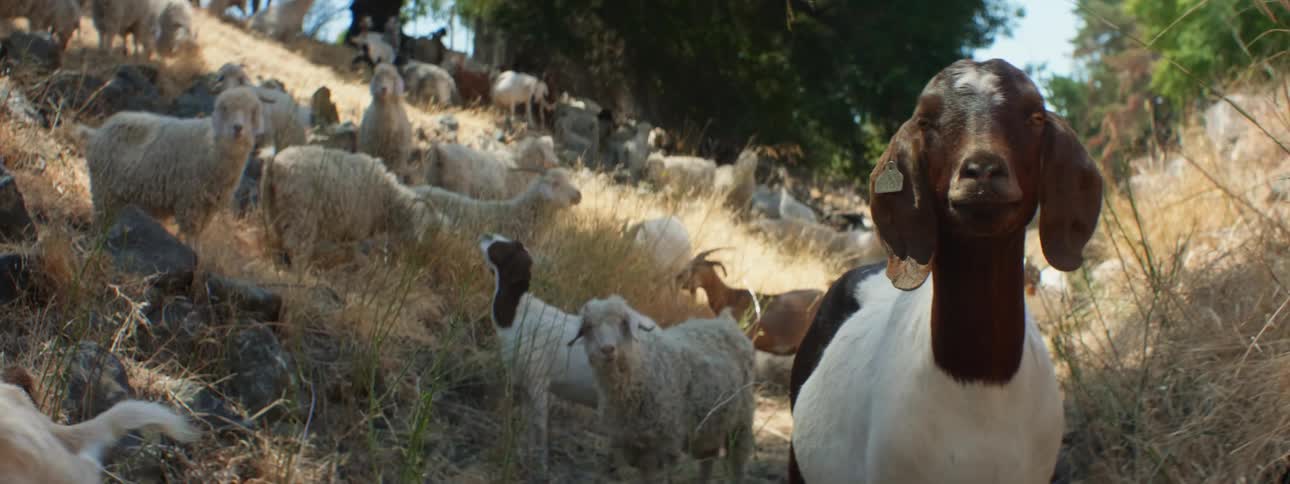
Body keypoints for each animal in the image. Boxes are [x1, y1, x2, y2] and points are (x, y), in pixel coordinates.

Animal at [80, 86, 269, 240]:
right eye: (224, 108)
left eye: (252, 112)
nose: (238, 128)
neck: (212, 148)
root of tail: (97, 132)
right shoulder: (190, 202)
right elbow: (191, 237)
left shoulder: (208, 208)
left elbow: (198, 237)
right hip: (103, 189)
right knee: (99, 222)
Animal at [259, 145, 444, 264]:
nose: (419, 259)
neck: (387, 198)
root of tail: (275, 163)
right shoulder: (357, 225)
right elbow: (354, 248)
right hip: (300, 211)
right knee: (296, 244)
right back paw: (301, 272)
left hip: (277, 206)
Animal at [477, 233, 597, 476]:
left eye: (504, 247)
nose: (486, 235)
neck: (519, 312)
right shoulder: (525, 385)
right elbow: (528, 428)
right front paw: (524, 458)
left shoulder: (538, 384)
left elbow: (539, 429)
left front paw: (541, 468)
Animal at [571, 295, 755, 483]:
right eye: (589, 327)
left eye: (623, 322)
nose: (607, 349)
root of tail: (725, 322)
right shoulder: (629, 442)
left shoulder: (663, 444)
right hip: (710, 425)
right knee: (707, 459)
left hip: (741, 420)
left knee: (738, 460)